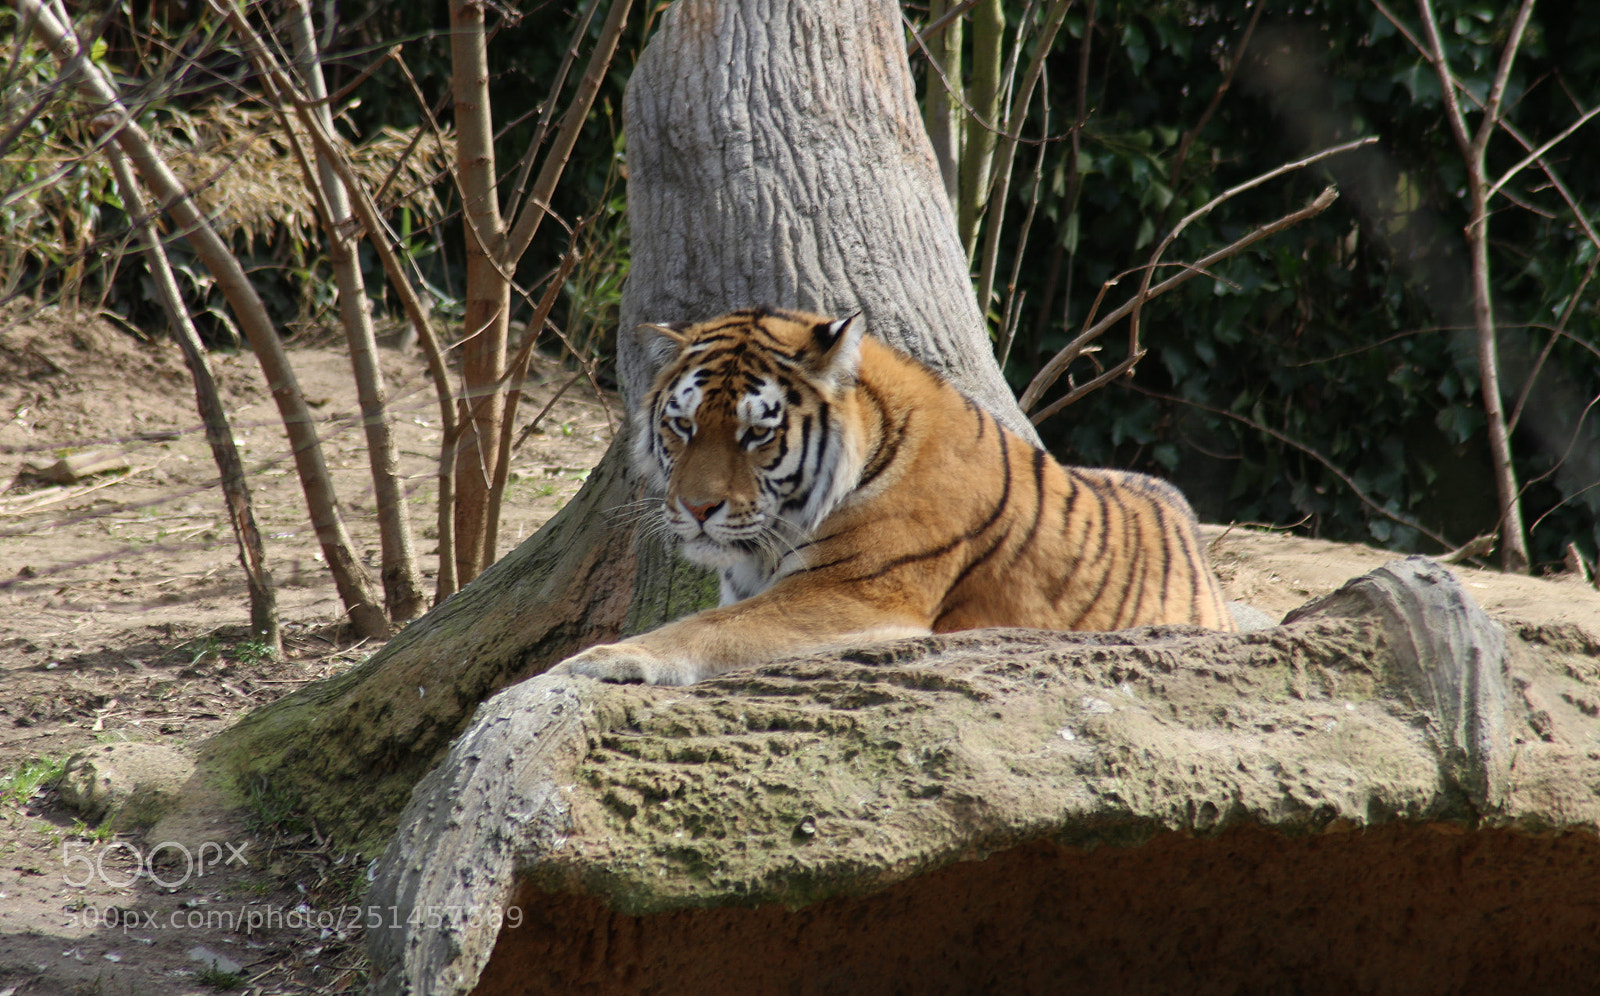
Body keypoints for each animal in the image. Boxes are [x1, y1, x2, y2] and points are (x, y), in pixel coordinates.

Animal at [551, 307, 1235, 686]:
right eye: (683, 426)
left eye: (757, 433)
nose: (696, 510)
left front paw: (597, 658)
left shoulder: (851, 593)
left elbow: (702, 627)